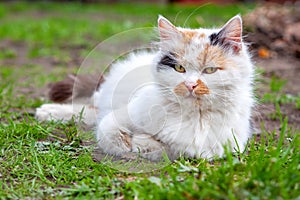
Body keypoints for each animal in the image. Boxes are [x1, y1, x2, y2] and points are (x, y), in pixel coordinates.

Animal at [36, 15, 254, 161]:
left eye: (210, 70)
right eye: (179, 68)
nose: (190, 85)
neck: (194, 115)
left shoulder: (219, 147)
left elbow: (170, 150)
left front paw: (143, 142)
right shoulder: (119, 117)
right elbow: (111, 135)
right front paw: (131, 143)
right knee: (91, 108)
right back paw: (46, 111)